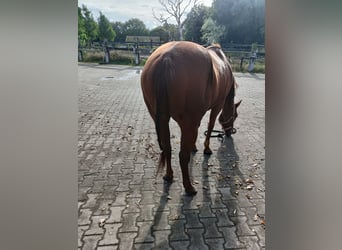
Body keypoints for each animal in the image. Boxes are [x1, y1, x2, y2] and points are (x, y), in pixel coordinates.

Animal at [140, 40, 239, 195]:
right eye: (235, 115)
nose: (229, 132)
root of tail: (166, 59)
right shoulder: (217, 105)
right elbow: (210, 125)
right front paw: (206, 148)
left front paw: (194, 147)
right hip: (186, 123)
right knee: (182, 156)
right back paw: (189, 187)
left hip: (160, 119)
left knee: (167, 147)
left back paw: (169, 175)